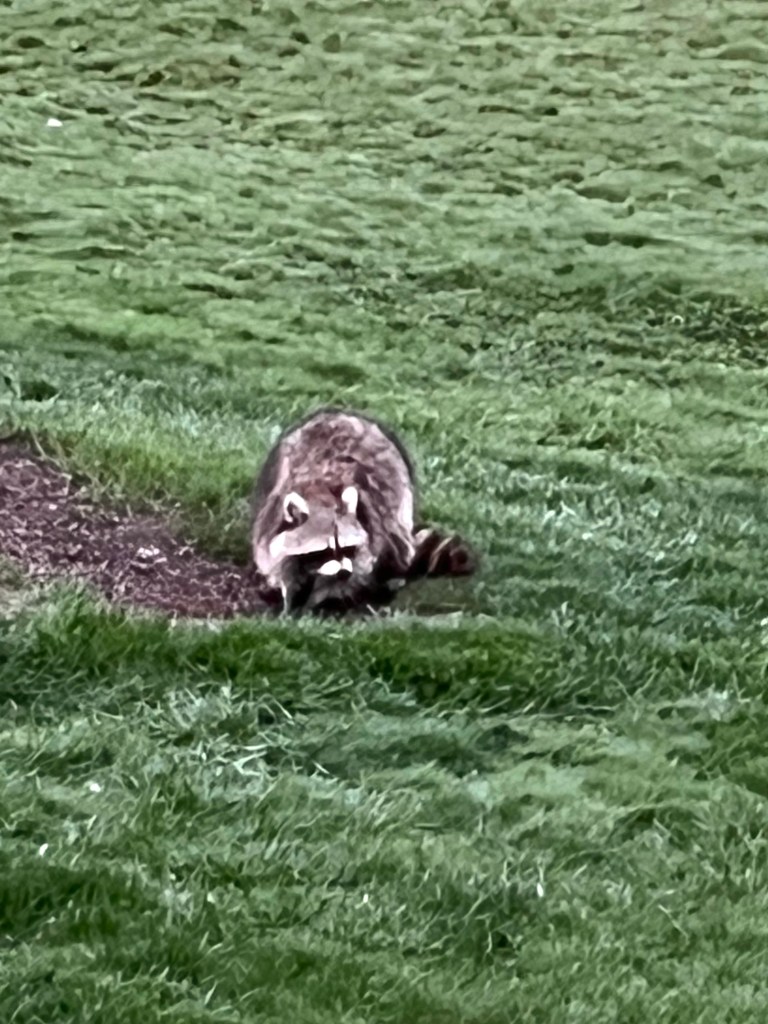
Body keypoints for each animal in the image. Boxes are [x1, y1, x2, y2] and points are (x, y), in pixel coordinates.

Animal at [250, 407, 476, 614]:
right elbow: (278, 560)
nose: (343, 574)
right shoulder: (270, 518)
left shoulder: (370, 533)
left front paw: (320, 600)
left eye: (348, 548)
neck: (320, 495)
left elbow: (356, 571)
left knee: (398, 542)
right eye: (324, 551)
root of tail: (341, 411)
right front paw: (290, 595)